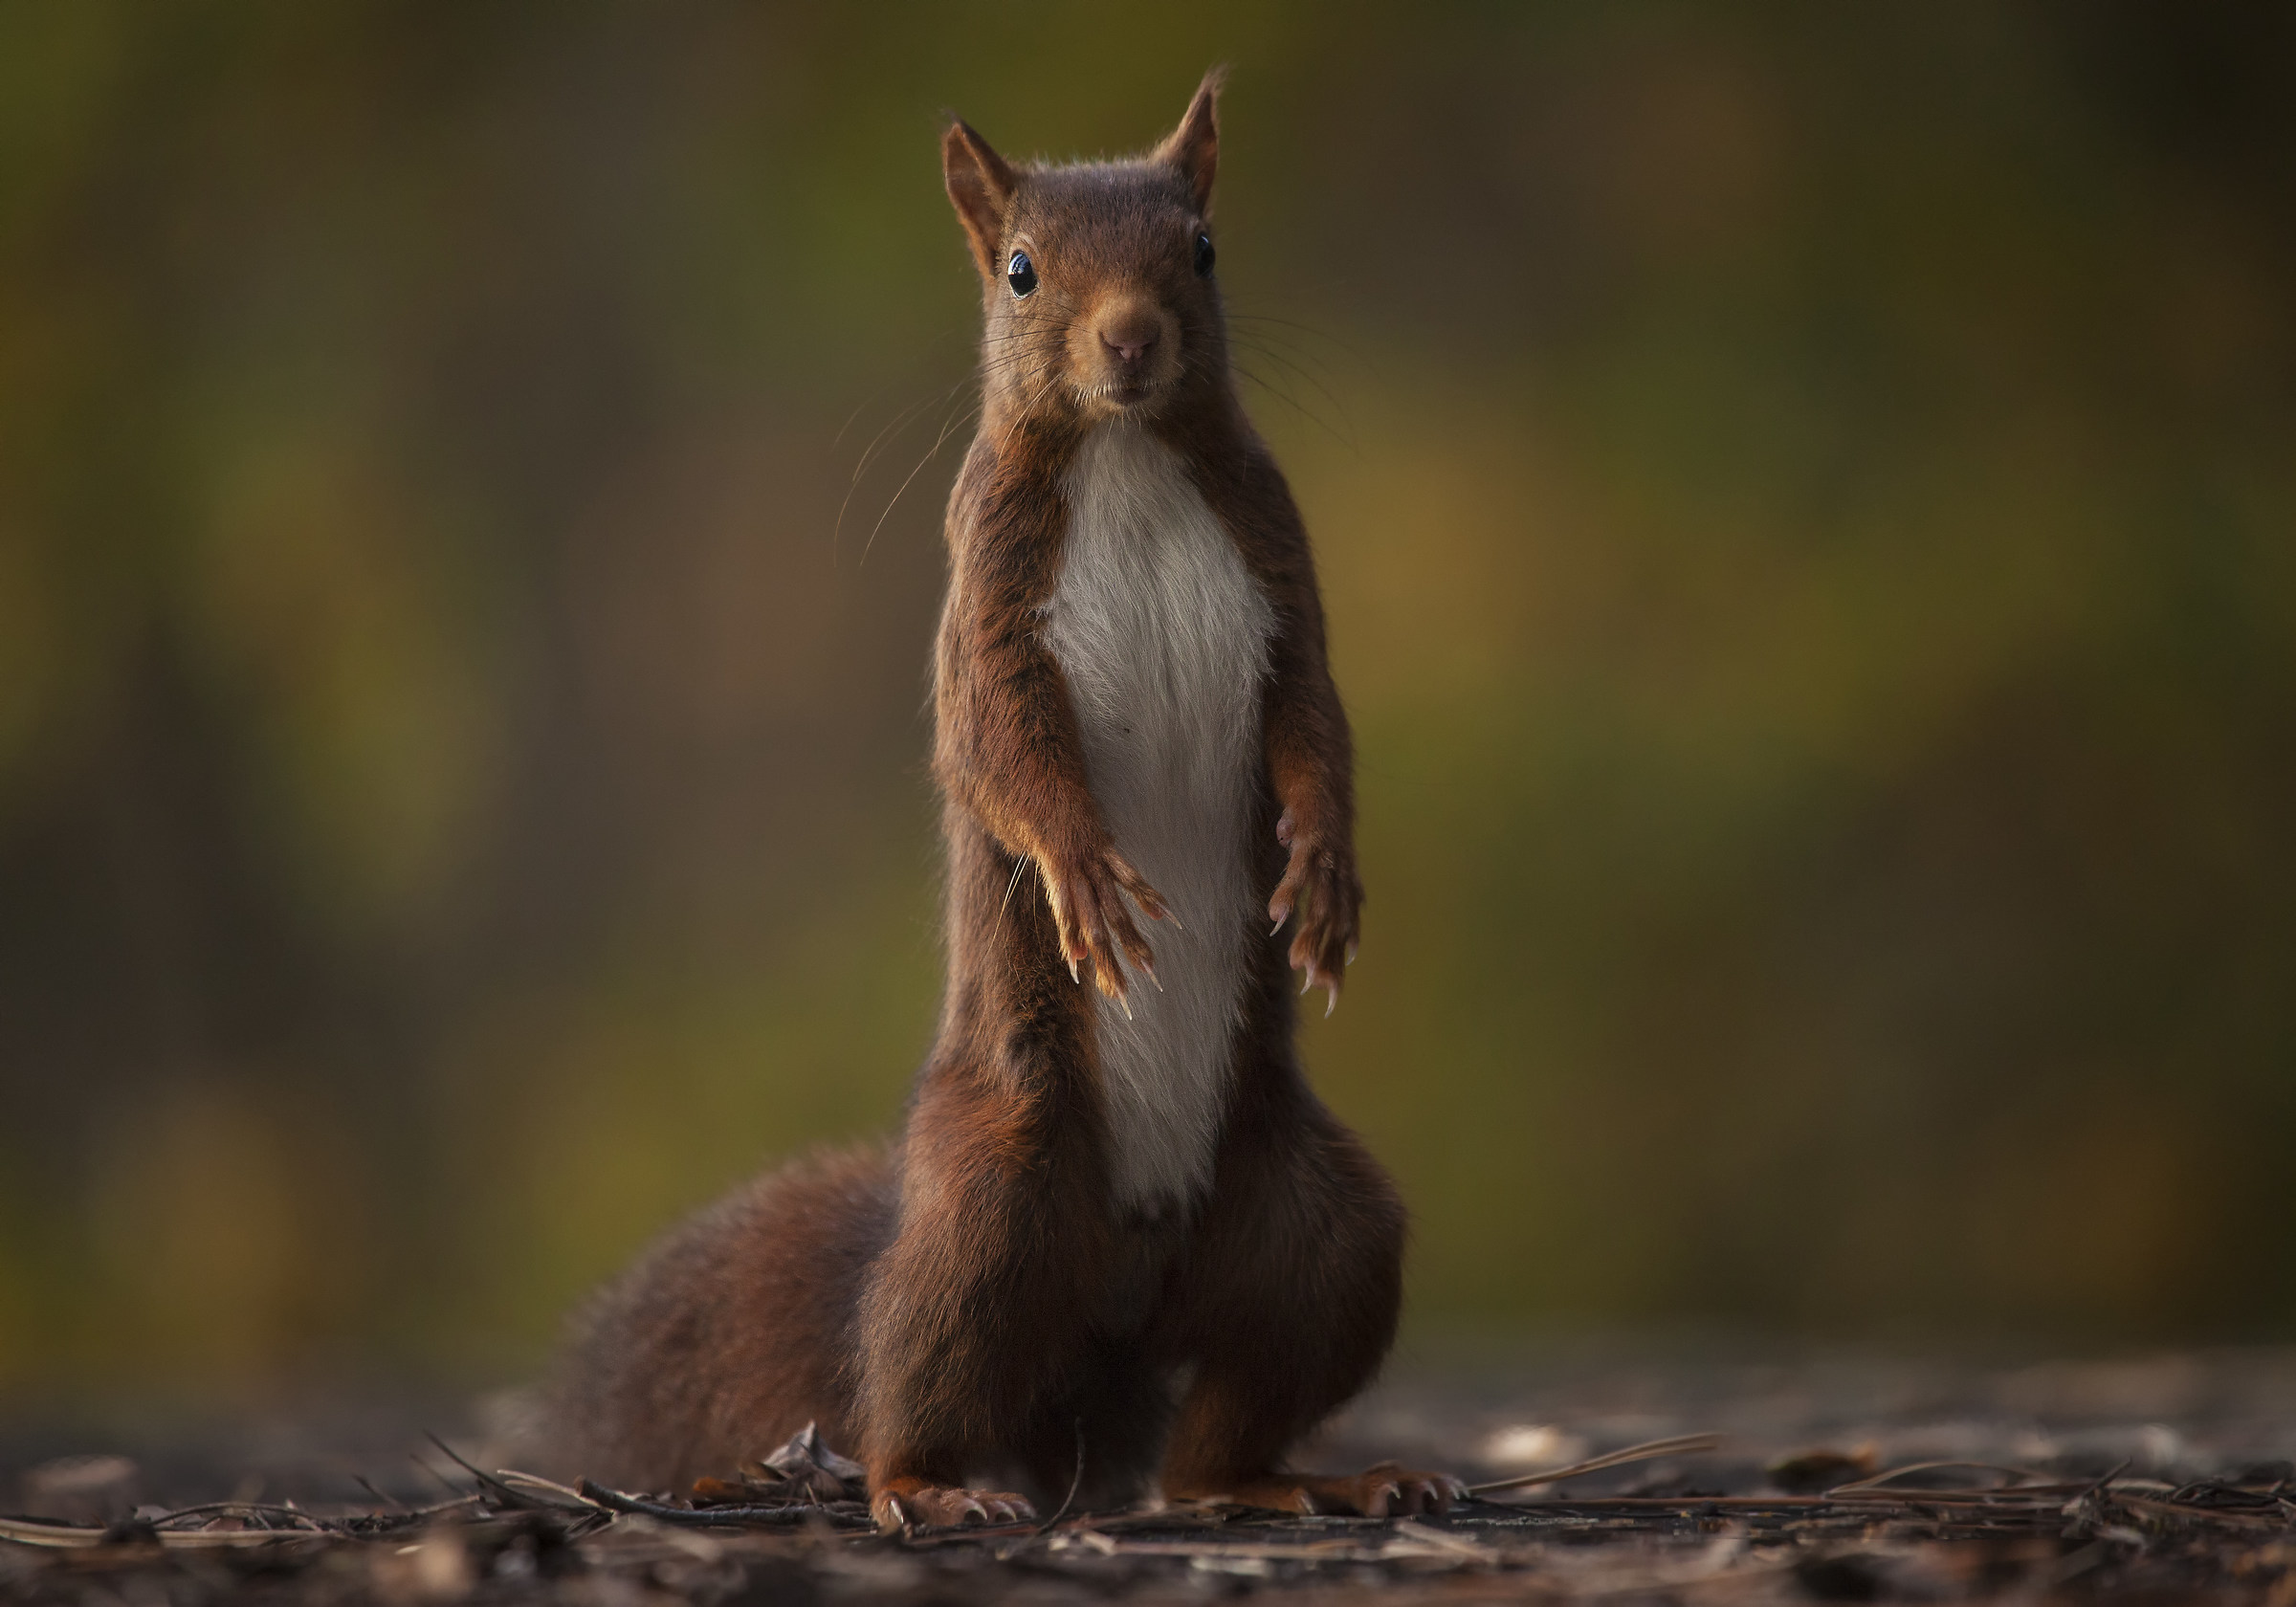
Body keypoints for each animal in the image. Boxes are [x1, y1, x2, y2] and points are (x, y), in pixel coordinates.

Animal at [525, 71, 1462, 1530]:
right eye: (1021, 271)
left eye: (1204, 248)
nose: (1130, 339)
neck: (1128, 459)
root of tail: (1122, 1306)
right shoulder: (990, 605)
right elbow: (1000, 753)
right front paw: (1082, 872)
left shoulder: (1284, 580)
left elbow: (1315, 728)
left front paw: (1322, 870)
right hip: (998, 1203)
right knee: (909, 1374)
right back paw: (934, 1484)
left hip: (1321, 1232)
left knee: (1219, 1434)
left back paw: (1308, 1481)